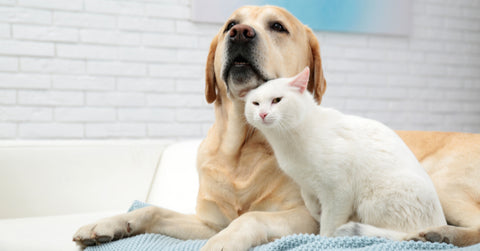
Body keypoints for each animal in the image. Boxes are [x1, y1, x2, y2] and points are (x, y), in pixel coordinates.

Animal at [244, 67, 446, 239]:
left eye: (277, 100)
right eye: (256, 103)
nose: (262, 114)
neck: (287, 142)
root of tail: (440, 223)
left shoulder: (339, 191)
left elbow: (329, 222)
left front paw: (323, 239)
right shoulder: (306, 185)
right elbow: (310, 204)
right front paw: (317, 212)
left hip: (372, 202)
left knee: (402, 235)